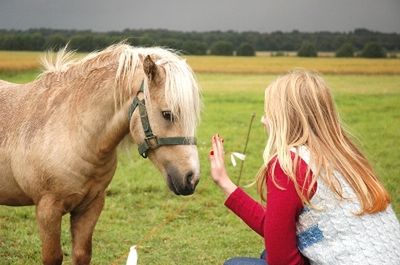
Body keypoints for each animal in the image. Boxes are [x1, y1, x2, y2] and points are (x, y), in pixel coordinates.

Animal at [0, 43, 202, 264]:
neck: (71, 130)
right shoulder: (48, 209)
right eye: (167, 114)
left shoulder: (91, 206)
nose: (191, 178)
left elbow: (82, 254)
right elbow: (52, 256)